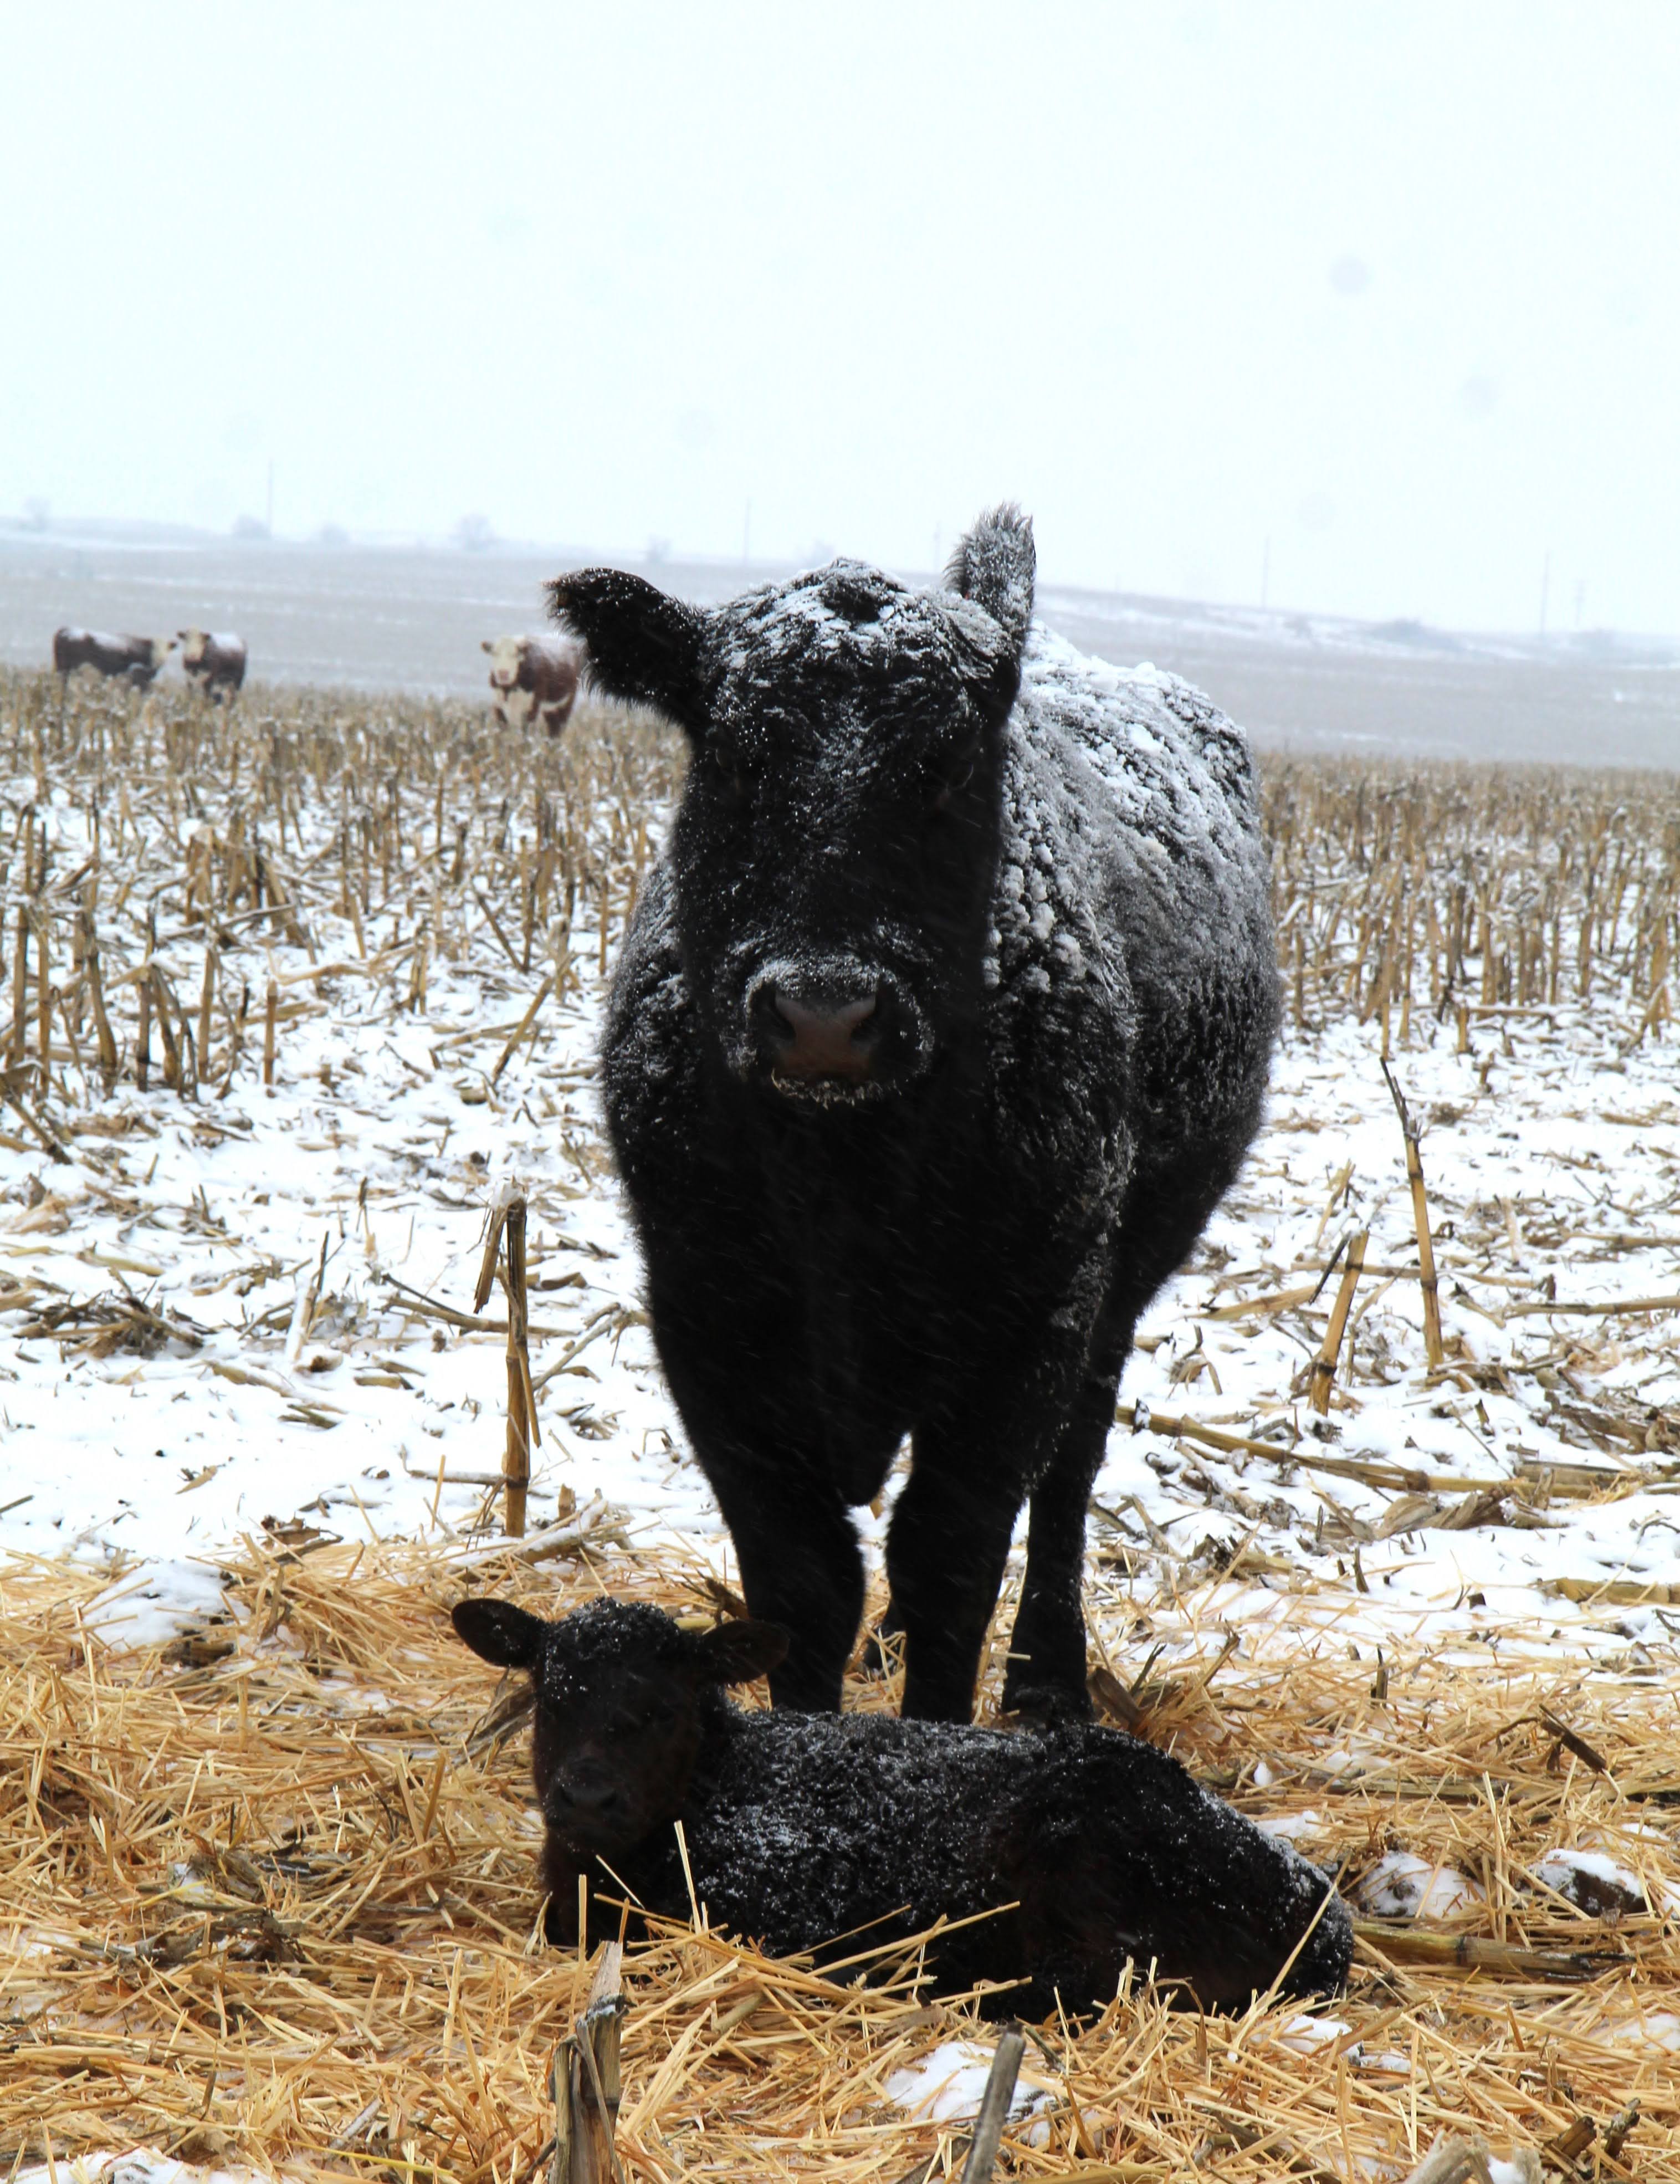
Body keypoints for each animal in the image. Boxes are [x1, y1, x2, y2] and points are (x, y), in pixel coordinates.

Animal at [177, 629, 247, 700]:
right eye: (186, 640)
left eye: (201, 642)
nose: (193, 655)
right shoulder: (189, 678)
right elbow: (191, 694)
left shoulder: (210, 678)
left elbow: (207, 695)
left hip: (238, 679)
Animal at [481, 634, 582, 736]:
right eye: (495, 653)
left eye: (515, 655)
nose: (503, 673)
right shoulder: (498, 706)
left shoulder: (532, 706)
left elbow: (526, 731)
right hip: (550, 708)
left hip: (567, 702)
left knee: (559, 726)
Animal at [551, 505, 1279, 1726]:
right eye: (734, 754)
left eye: (948, 762)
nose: (823, 1013)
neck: (846, 1172)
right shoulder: (708, 1318)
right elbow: (802, 1578)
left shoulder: (1027, 1322)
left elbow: (951, 1558)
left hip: (1118, 1284)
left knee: (1069, 1475)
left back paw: (1049, 1673)